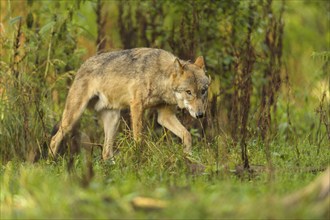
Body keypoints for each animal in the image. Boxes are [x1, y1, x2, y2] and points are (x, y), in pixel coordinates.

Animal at [50, 48, 211, 161]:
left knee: (106, 152)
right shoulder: (136, 106)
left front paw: (189, 157)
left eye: (203, 91)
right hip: (73, 117)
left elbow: (187, 135)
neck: (160, 76)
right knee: (54, 140)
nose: (200, 115)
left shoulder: (165, 116)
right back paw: (51, 164)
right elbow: (139, 140)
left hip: (113, 120)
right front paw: (139, 161)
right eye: (189, 92)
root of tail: (83, 65)